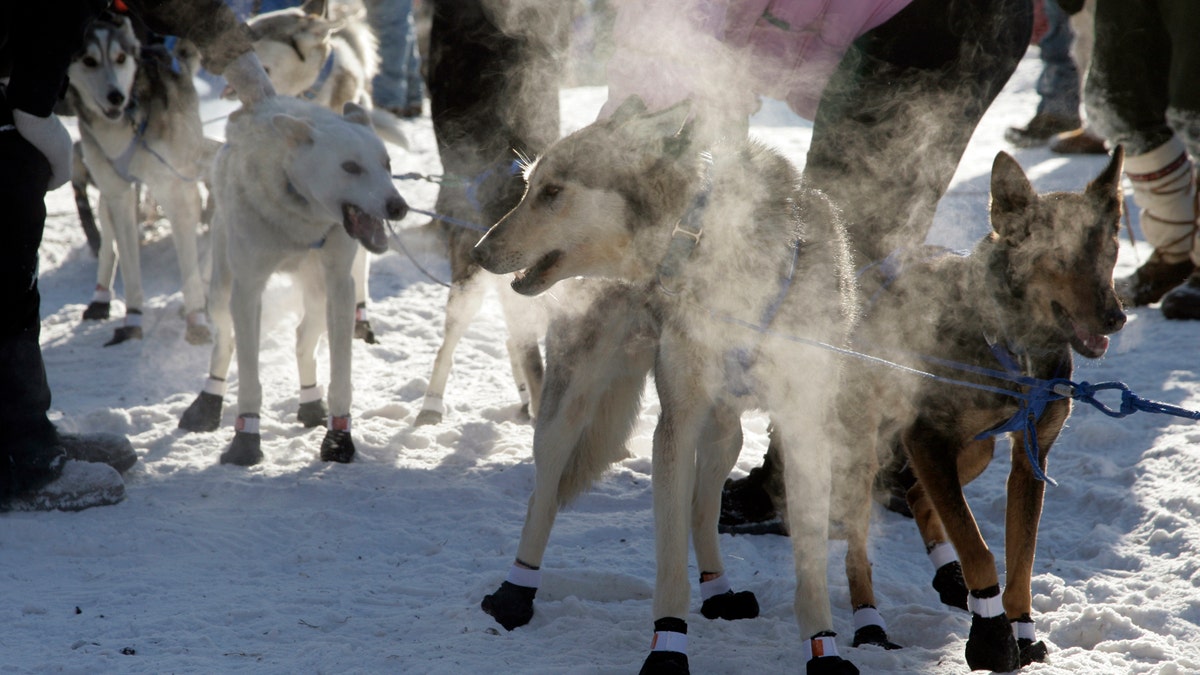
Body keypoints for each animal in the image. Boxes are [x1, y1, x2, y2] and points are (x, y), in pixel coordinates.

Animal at [66, 13, 211, 343]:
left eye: (120, 58)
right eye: (89, 60)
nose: (116, 96)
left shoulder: (176, 190)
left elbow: (190, 265)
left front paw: (197, 318)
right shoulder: (119, 193)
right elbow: (129, 264)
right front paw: (132, 318)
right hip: (110, 189)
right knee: (108, 238)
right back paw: (100, 297)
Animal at [175, 94, 408, 466]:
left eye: (386, 164)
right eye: (350, 167)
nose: (398, 206)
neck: (302, 219)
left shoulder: (341, 285)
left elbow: (341, 374)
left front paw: (338, 437)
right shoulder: (248, 289)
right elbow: (249, 378)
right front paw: (245, 440)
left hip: (319, 292)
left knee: (302, 337)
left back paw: (310, 400)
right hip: (222, 290)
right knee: (225, 341)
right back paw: (209, 401)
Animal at [472, 96, 878, 672]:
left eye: (551, 193)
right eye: (529, 187)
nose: (479, 252)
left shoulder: (804, 429)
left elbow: (810, 567)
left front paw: (824, 649)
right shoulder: (676, 424)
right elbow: (668, 565)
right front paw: (667, 649)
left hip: (726, 433)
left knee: (703, 511)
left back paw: (720, 589)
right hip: (568, 411)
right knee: (543, 496)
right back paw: (514, 592)